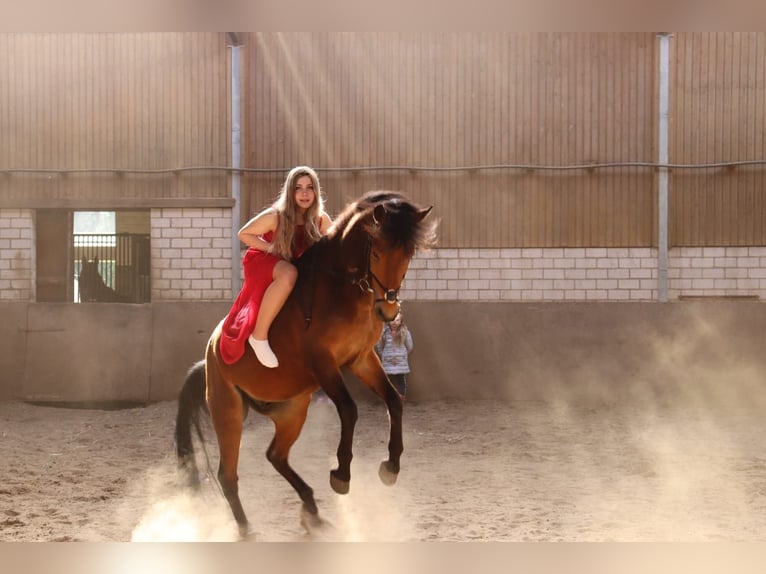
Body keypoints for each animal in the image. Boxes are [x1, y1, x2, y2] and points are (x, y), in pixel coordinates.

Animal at [176, 191, 438, 536]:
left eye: (408, 253)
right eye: (378, 251)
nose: (389, 310)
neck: (342, 289)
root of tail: (210, 352)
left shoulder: (361, 359)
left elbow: (394, 401)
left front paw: (391, 466)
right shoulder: (323, 362)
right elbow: (349, 409)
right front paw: (341, 474)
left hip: (293, 409)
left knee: (275, 456)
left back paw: (312, 508)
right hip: (228, 412)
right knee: (227, 476)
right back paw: (247, 529)